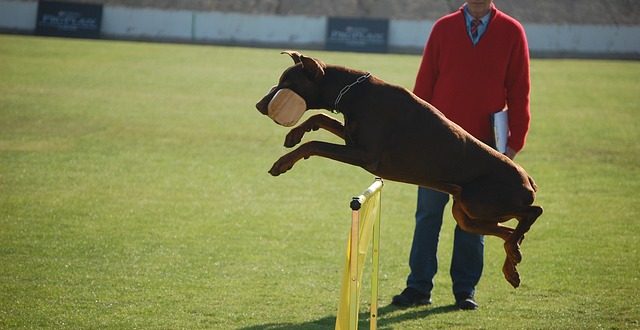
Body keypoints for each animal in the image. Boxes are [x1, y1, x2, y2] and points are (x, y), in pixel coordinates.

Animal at [255, 50, 540, 288]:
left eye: (287, 84)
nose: (259, 105)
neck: (353, 94)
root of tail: (528, 180)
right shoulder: (352, 139)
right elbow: (320, 117)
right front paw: (295, 134)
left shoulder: (365, 155)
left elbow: (315, 144)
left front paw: (283, 162)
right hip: (467, 213)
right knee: (508, 232)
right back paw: (513, 261)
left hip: (480, 201)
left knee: (533, 212)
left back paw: (515, 254)